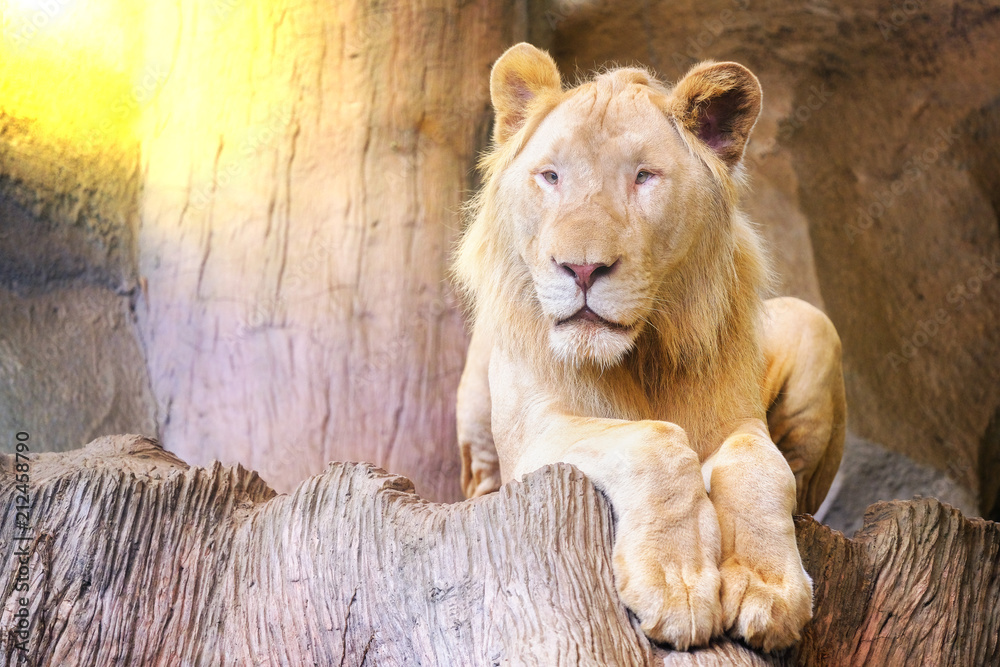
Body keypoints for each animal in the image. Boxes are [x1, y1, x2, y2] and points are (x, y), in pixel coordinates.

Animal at [452, 43, 846, 652]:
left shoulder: (740, 421)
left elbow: (758, 465)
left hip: (813, 325)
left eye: (643, 177)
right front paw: (677, 584)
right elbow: (654, 439)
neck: (642, 354)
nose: (581, 268)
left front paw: (766, 587)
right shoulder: (534, 435)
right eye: (551, 176)